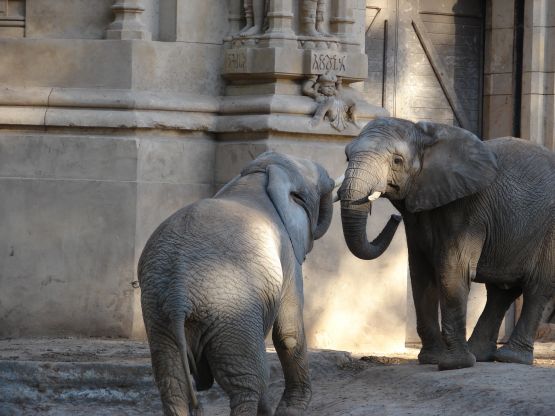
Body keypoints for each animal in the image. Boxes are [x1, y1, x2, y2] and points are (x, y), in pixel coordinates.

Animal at [138, 153, 334, 416]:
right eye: (315, 185)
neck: (259, 174)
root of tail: (178, 295)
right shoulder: (289, 255)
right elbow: (288, 332)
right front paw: (290, 410)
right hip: (232, 311)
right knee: (248, 383)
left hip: (159, 313)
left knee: (172, 382)